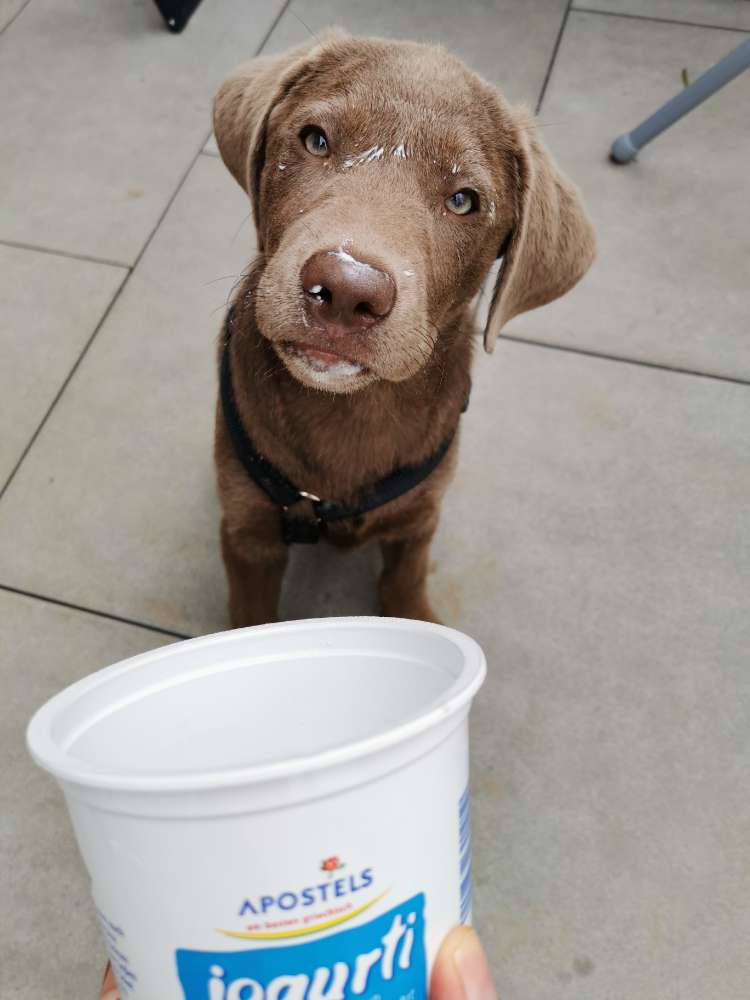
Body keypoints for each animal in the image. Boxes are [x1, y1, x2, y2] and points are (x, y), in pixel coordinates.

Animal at [210, 33, 592, 624]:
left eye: (463, 200)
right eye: (315, 140)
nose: (346, 289)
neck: (349, 413)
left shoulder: (420, 517)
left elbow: (404, 582)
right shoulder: (248, 532)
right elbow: (252, 616)